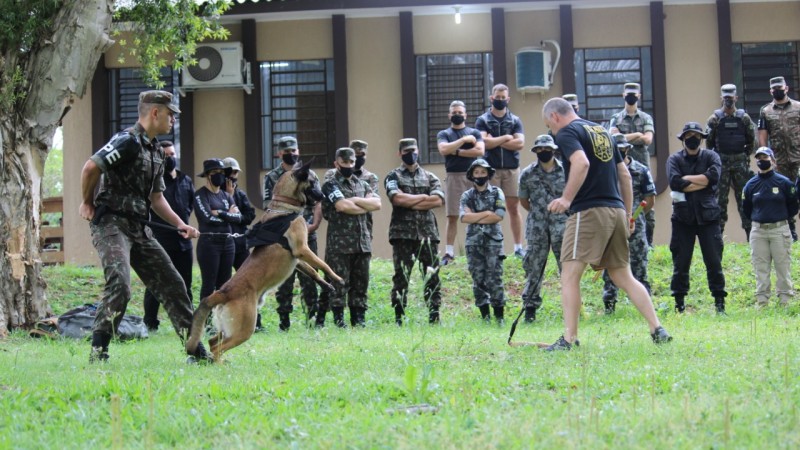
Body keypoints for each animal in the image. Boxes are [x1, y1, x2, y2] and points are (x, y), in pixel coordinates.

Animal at [188, 162, 344, 362]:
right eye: (313, 181)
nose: (324, 196)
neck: (283, 207)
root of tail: (222, 292)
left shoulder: (297, 259)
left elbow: (313, 271)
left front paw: (327, 284)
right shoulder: (302, 249)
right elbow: (324, 264)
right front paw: (337, 278)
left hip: (229, 328)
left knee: (213, 341)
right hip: (245, 329)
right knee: (217, 347)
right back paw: (221, 364)